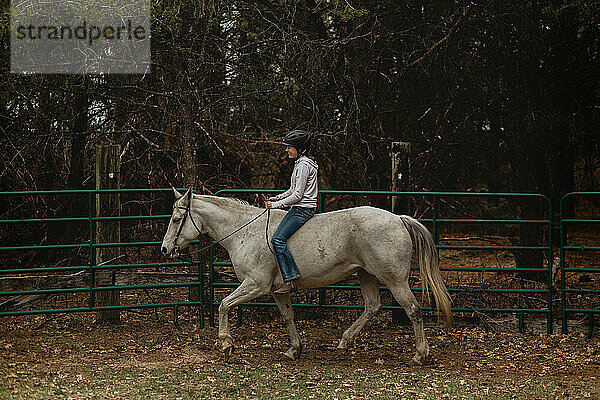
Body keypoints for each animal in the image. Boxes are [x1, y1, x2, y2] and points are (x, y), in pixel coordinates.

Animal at [159, 189, 450, 368]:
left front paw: (226, 345)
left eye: (176, 218)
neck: (244, 232)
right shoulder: (277, 291)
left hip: (394, 279)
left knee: (413, 310)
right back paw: (343, 343)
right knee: (372, 306)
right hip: (366, 275)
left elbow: (223, 305)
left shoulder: (255, 285)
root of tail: (399, 219)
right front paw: (294, 349)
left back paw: (420, 355)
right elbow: (288, 316)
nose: (164, 248)